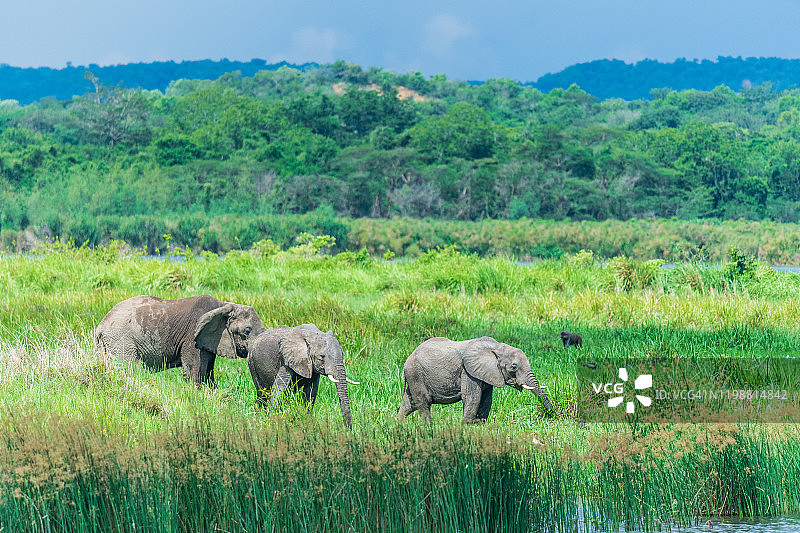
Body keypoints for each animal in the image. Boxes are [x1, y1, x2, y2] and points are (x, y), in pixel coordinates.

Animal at [95, 295, 264, 386]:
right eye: (247, 331)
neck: (223, 304)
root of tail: (101, 326)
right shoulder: (192, 337)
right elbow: (194, 373)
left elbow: (208, 373)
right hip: (121, 341)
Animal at [397, 336, 553, 424]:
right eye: (514, 367)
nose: (552, 413)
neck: (497, 348)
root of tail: (408, 359)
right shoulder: (468, 372)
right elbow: (473, 397)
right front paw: (465, 427)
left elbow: (486, 400)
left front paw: (479, 426)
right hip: (416, 374)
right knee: (423, 402)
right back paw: (428, 428)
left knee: (409, 403)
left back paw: (398, 425)